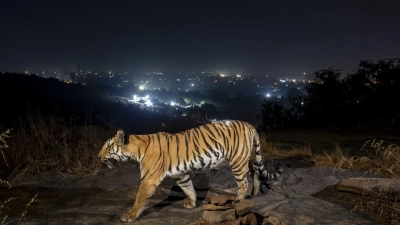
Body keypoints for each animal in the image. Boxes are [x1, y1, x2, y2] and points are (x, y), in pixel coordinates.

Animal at [99, 119, 282, 221]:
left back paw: (238, 201)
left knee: (243, 182)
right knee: (255, 170)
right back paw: (256, 191)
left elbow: (139, 199)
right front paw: (192, 204)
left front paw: (130, 216)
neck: (136, 149)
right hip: (245, 158)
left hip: (237, 160)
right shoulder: (180, 175)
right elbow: (189, 188)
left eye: (107, 147)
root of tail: (249, 125)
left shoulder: (149, 179)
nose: (98, 156)